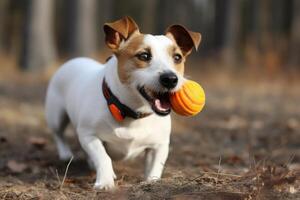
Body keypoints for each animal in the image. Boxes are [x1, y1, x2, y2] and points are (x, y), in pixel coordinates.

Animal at [45, 16, 200, 189]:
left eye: (177, 57)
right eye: (144, 56)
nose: (171, 79)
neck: (132, 112)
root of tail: (75, 60)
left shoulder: (160, 145)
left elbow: (155, 167)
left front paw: (152, 182)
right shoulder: (88, 135)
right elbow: (103, 157)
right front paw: (105, 182)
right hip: (56, 115)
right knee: (58, 134)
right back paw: (65, 154)